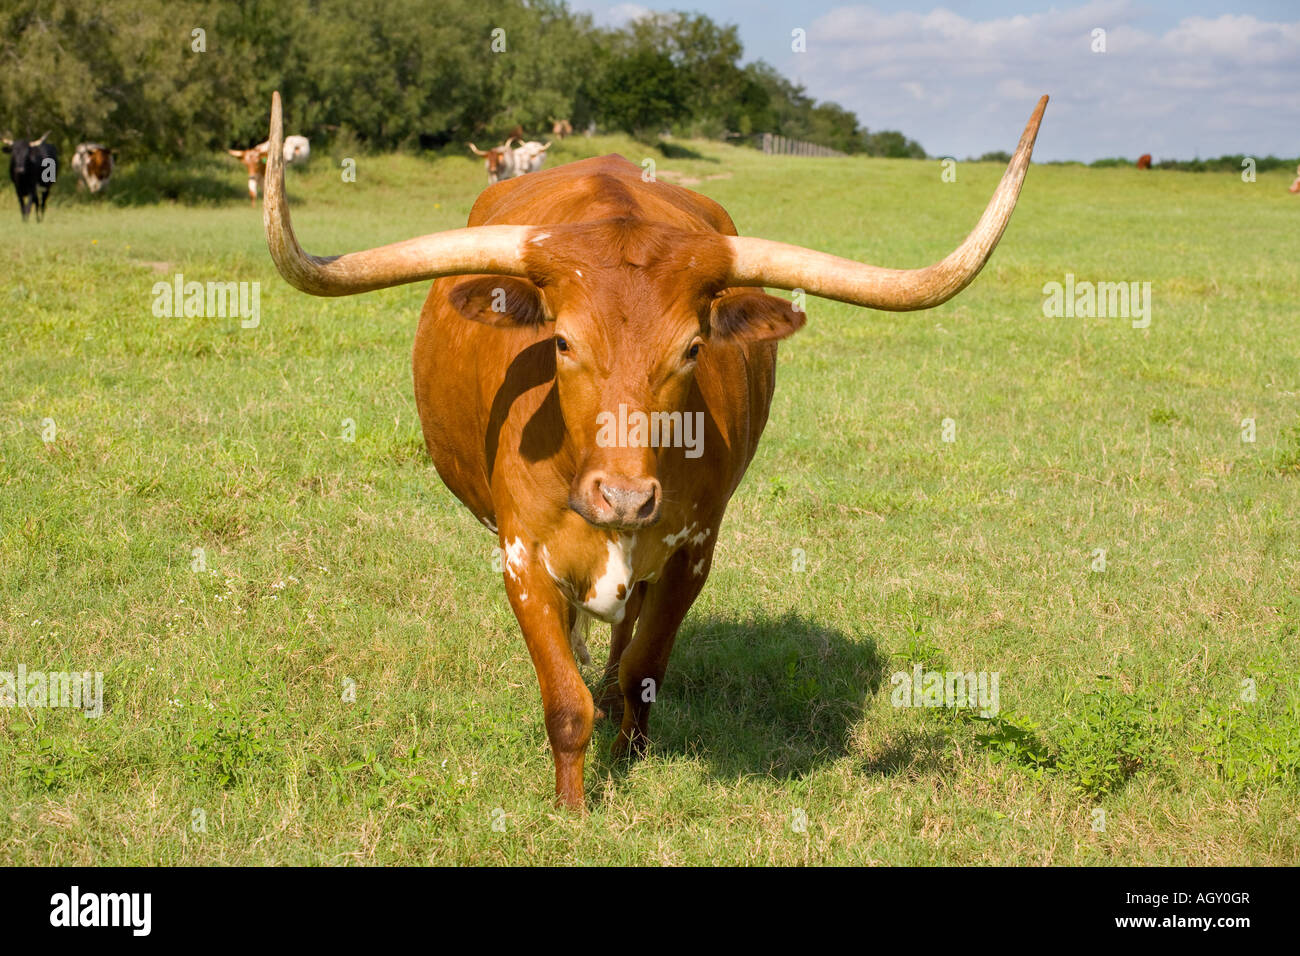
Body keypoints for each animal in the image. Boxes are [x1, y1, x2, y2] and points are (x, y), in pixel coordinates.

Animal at [262, 91, 1048, 809]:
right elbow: (564, 698)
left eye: (693, 348)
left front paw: (629, 755)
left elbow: (644, 665)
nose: (625, 497)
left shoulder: (692, 553)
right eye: (562, 341)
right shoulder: (520, 555)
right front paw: (572, 808)